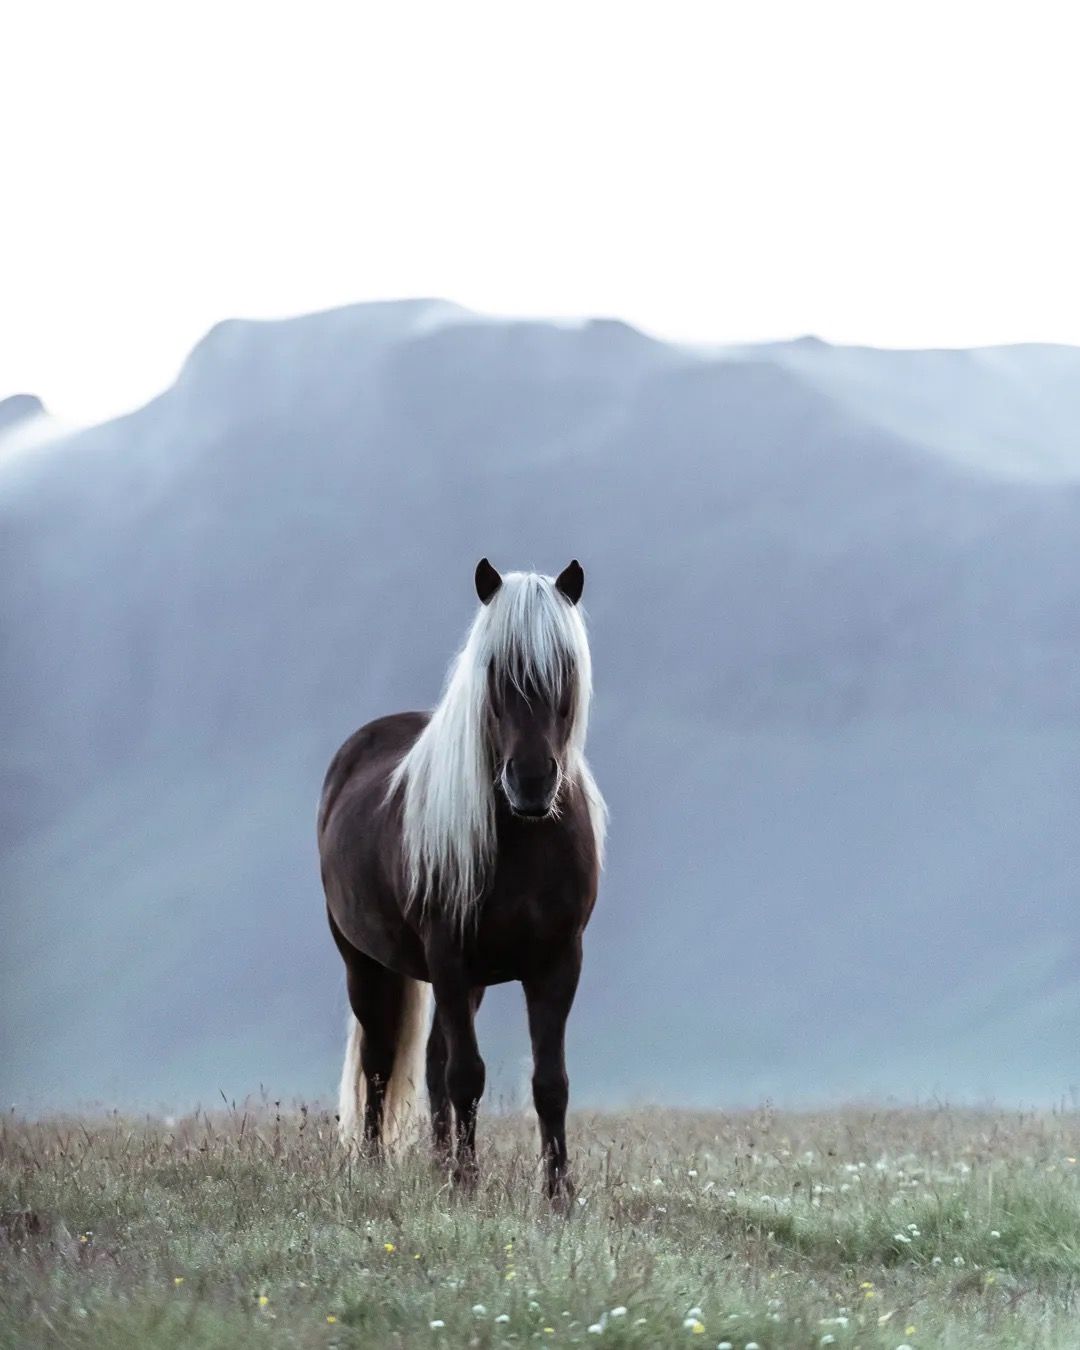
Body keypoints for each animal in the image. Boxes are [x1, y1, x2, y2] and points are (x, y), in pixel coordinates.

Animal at [317, 558, 607, 1199]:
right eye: (495, 670)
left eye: (566, 667)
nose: (531, 781)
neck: (525, 839)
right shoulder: (448, 954)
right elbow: (467, 1076)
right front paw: (467, 1187)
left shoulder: (560, 961)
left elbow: (550, 1082)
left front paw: (557, 1197)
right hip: (365, 962)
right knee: (381, 1061)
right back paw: (376, 1166)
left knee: (429, 1062)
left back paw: (437, 1164)